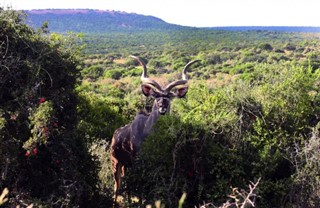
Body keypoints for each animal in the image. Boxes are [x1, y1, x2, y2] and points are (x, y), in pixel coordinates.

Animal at [111, 55, 199, 205]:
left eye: (169, 96)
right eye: (156, 96)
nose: (162, 108)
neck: (148, 131)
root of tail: (114, 135)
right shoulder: (137, 160)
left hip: (125, 165)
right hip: (116, 163)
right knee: (117, 184)